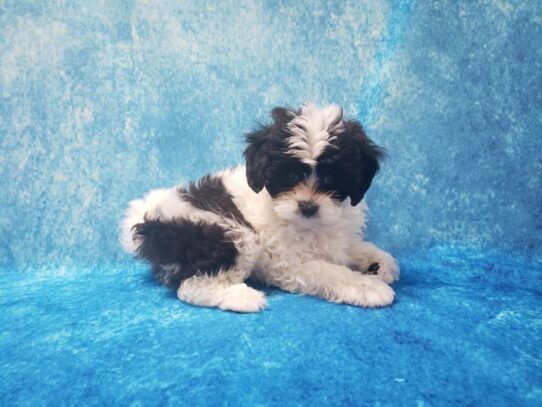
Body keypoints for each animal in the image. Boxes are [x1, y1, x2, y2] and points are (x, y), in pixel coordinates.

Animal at [121, 104, 402, 312]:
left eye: (331, 178)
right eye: (290, 176)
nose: (307, 207)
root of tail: (146, 218)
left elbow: (352, 248)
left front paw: (380, 263)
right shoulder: (290, 264)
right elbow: (331, 272)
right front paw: (368, 286)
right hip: (227, 233)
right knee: (189, 286)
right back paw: (243, 299)